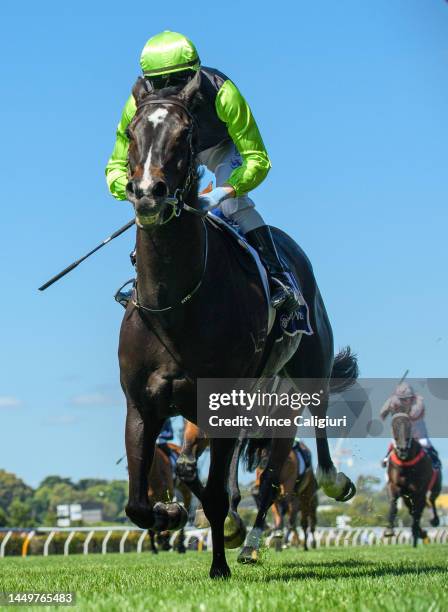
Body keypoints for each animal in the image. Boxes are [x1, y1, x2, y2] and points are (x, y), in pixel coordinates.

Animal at [119, 73, 356, 580]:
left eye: (185, 134)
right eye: (130, 133)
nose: (148, 192)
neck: (174, 307)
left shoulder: (220, 400)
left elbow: (213, 494)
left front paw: (219, 566)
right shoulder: (142, 405)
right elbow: (138, 502)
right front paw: (170, 515)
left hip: (306, 374)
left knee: (309, 432)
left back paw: (323, 488)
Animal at [384, 414, 442, 548]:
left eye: (409, 426)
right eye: (393, 427)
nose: (402, 449)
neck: (405, 464)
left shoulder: (419, 491)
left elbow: (418, 512)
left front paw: (417, 533)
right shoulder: (394, 485)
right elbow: (393, 503)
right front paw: (389, 530)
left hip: (435, 487)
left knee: (431, 501)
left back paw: (433, 521)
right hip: (407, 497)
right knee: (413, 509)